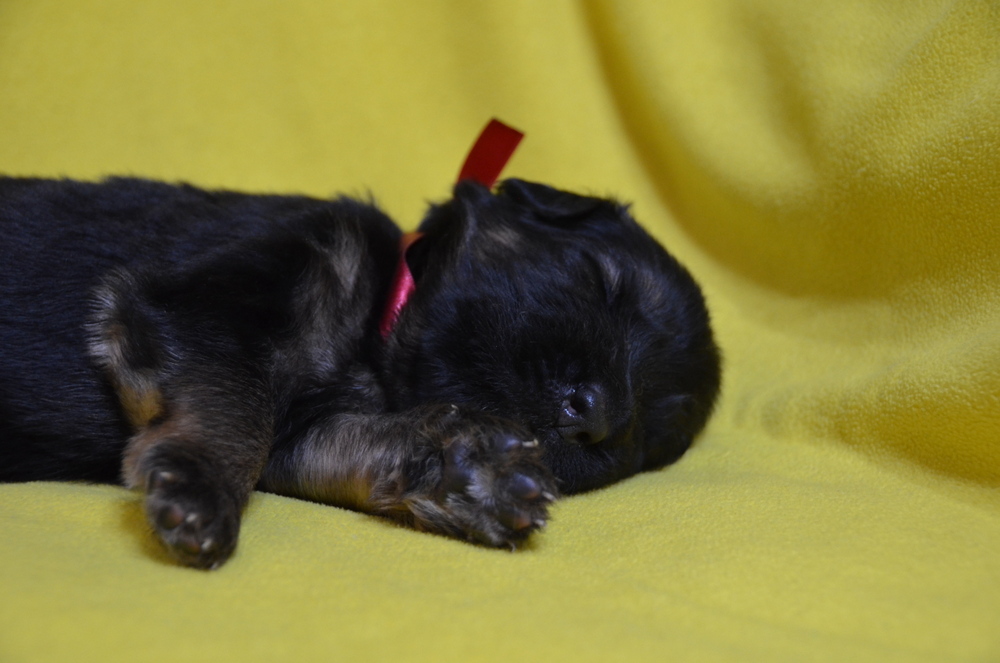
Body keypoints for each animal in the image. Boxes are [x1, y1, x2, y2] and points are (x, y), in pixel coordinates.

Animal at [0, 174, 720, 569]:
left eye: (657, 432)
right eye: (602, 281)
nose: (594, 413)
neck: (373, 339)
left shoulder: (309, 434)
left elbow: (359, 441)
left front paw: (471, 470)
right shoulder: (201, 304)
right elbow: (238, 405)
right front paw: (200, 486)